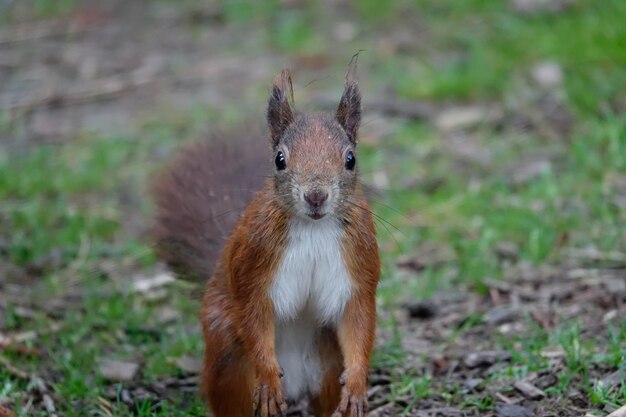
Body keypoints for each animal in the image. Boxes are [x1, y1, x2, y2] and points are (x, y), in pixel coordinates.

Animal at [152, 66, 380, 414]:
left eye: (351, 159)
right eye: (279, 159)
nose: (316, 196)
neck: (313, 229)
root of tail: (297, 386)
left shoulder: (359, 265)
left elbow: (358, 320)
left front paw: (356, 384)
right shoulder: (254, 263)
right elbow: (254, 316)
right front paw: (269, 378)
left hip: (327, 363)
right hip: (230, 363)